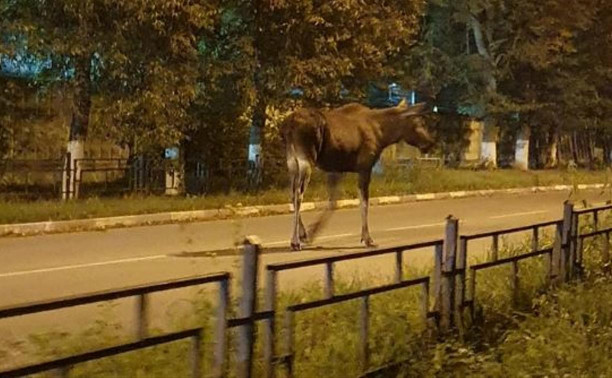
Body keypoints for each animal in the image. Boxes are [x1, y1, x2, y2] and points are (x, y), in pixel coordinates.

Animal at [282, 99, 436, 251]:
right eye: (419, 123)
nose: (430, 143)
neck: (384, 135)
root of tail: (289, 124)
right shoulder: (364, 166)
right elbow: (364, 203)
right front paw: (367, 239)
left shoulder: (336, 169)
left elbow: (334, 201)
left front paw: (313, 232)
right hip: (306, 159)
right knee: (298, 195)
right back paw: (295, 241)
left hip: (292, 162)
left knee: (292, 193)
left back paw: (302, 234)